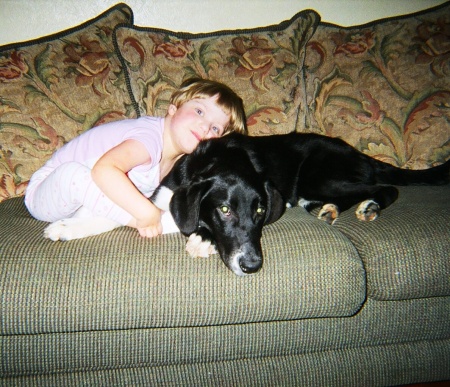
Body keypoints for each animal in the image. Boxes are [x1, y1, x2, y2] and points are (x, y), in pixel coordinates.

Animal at [151, 133, 450, 276]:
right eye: (225, 210)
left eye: (260, 211)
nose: (252, 266)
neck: (223, 157)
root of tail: (360, 153)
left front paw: (203, 237)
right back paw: (329, 210)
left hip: (320, 177)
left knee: (386, 187)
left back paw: (370, 206)